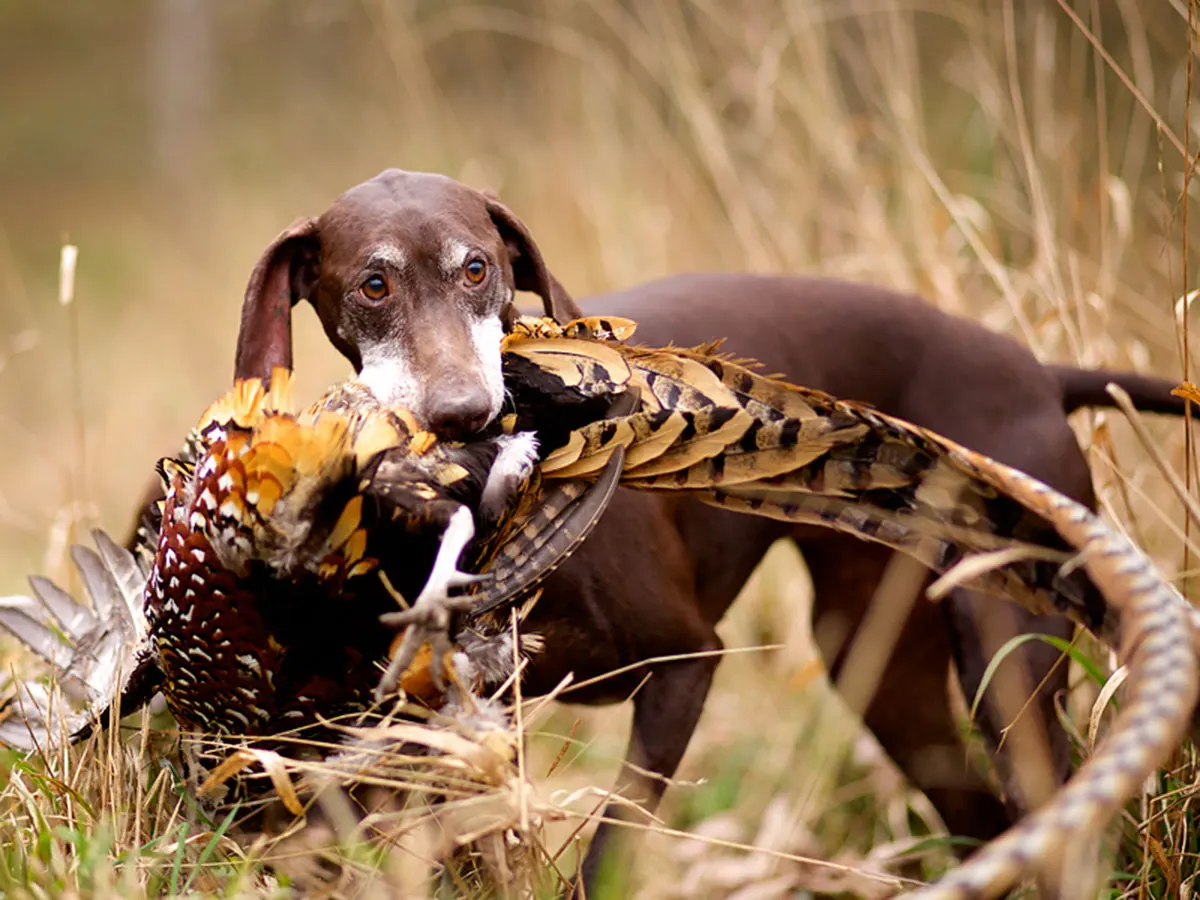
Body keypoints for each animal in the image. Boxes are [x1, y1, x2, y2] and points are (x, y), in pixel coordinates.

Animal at [220, 170, 1185, 897]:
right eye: (373, 284)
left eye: (477, 269)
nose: (466, 415)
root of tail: (1035, 371)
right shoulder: (448, 736)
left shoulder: (685, 664)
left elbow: (611, 846)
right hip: (880, 673)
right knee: (984, 824)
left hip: (1003, 662)